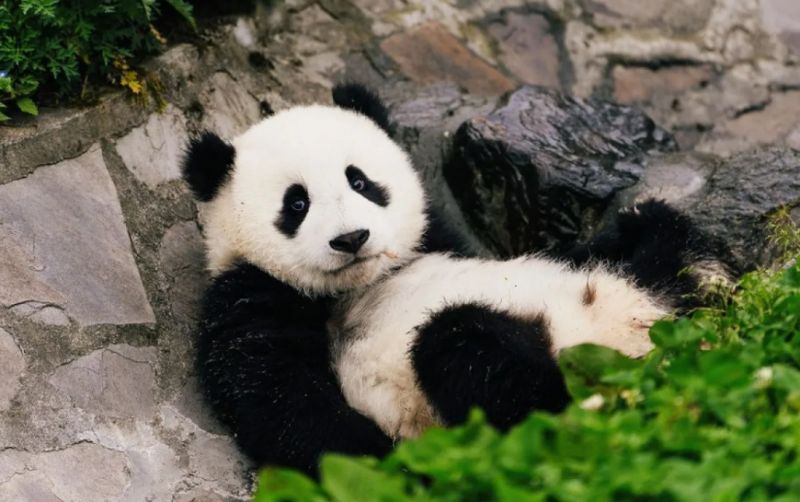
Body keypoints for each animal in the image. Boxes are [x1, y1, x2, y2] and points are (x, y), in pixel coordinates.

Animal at [182, 84, 725, 474]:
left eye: (360, 181)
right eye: (296, 203)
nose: (352, 238)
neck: (362, 282)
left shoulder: (438, 238)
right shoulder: (250, 296)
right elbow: (281, 402)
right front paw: (384, 462)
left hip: (642, 298)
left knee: (656, 255)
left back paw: (656, 235)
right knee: (465, 349)